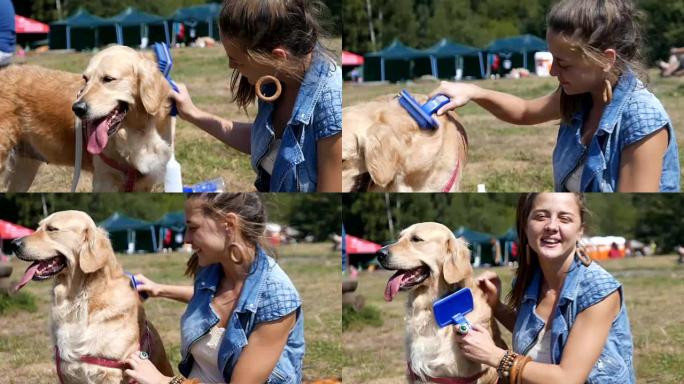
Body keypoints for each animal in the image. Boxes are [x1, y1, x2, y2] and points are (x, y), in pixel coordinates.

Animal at [0, 45, 174, 192]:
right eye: (85, 78)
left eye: (108, 79)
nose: (77, 108)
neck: (137, 131)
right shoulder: (104, 181)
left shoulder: (145, 183)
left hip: (24, 170)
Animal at [13, 212, 174, 382]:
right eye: (38, 227)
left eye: (52, 229)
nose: (13, 244)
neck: (77, 300)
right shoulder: (67, 370)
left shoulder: (110, 371)